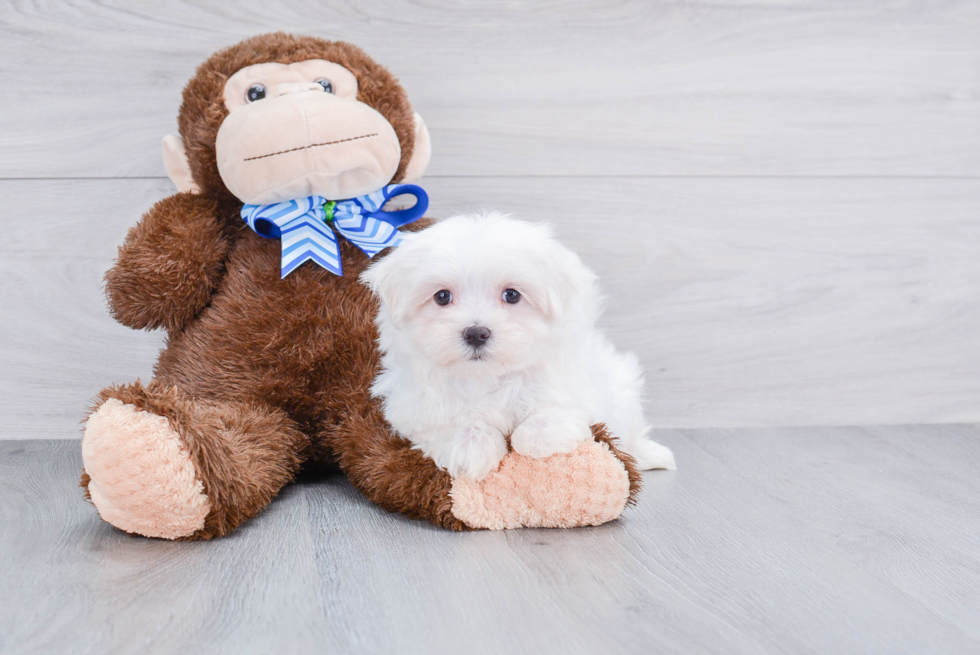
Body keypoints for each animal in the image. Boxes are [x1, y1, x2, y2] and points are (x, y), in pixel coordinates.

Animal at [360, 213, 672, 480]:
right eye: (442, 297)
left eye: (511, 295)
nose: (476, 333)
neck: (486, 377)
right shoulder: (414, 407)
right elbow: (447, 423)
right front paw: (471, 445)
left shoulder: (572, 384)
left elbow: (556, 407)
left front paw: (539, 436)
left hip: (622, 387)